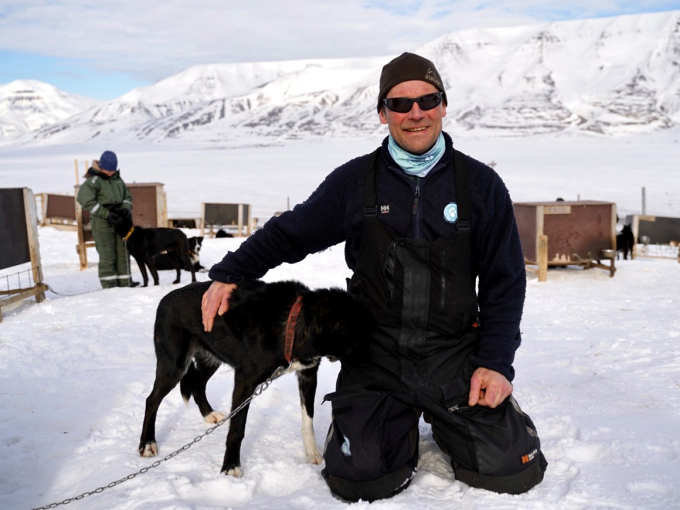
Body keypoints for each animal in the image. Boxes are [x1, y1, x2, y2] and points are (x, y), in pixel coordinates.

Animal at [139, 280, 372, 476]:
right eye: (358, 336)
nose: (373, 359)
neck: (291, 323)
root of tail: (166, 299)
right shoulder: (245, 381)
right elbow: (237, 430)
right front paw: (230, 466)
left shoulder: (308, 374)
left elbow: (308, 420)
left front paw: (312, 453)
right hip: (174, 366)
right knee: (152, 400)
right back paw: (147, 443)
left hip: (211, 358)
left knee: (197, 385)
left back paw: (209, 414)